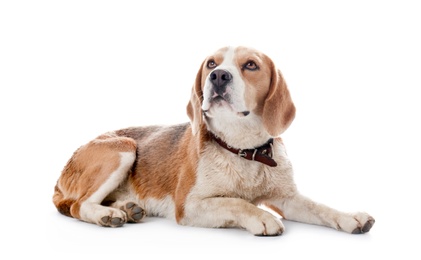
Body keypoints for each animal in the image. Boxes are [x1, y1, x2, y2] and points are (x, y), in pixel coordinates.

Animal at [53, 46, 374, 236]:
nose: (219, 76)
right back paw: (107, 215)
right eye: (211, 64)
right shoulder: (189, 205)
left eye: (251, 65)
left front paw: (351, 217)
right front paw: (261, 216)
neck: (243, 149)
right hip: (124, 148)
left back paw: (126, 208)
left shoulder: (287, 198)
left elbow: (320, 207)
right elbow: (236, 202)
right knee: (78, 206)